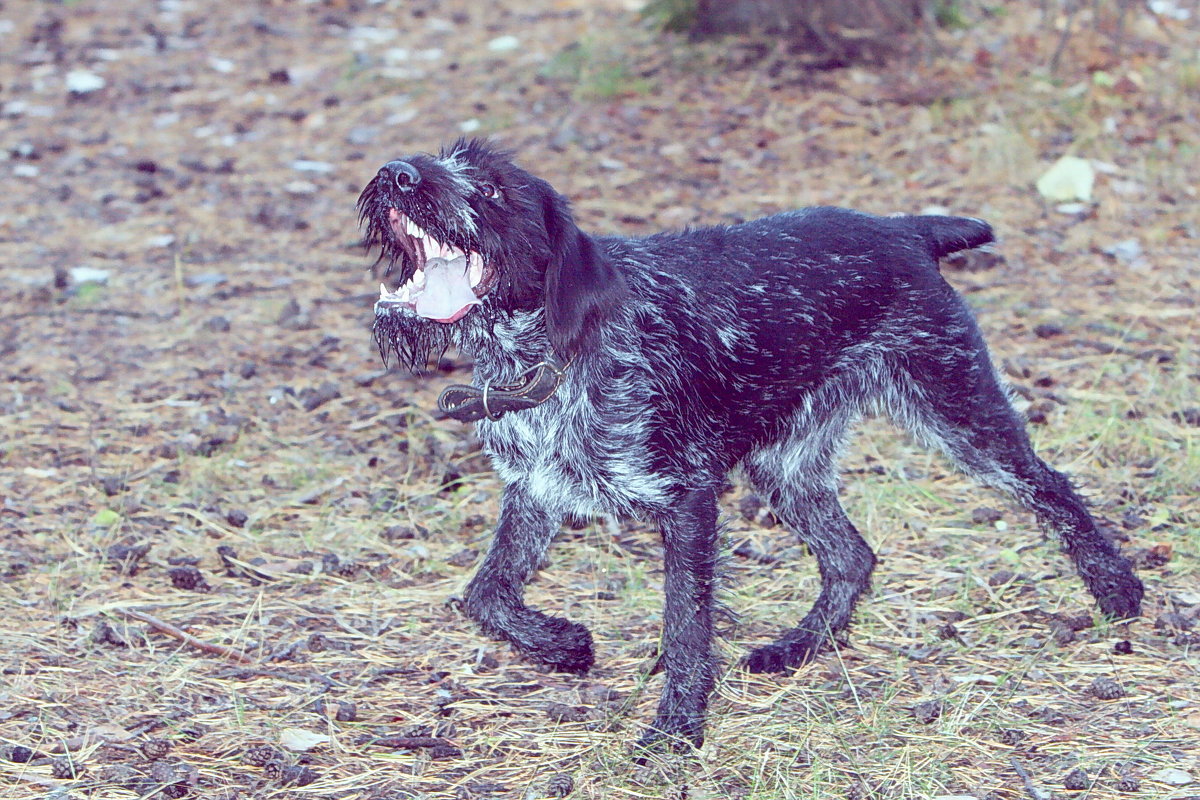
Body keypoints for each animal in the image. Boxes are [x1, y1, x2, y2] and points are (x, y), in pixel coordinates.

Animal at [357, 139, 1142, 753]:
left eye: (491, 188)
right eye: (441, 158)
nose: (397, 173)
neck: (548, 356)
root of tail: (904, 229)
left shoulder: (687, 499)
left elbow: (685, 627)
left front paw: (676, 730)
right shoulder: (536, 492)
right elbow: (486, 594)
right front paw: (564, 646)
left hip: (958, 409)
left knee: (1050, 485)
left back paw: (1118, 590)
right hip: (786, 467)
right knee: (853, 556)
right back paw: (798, 648)